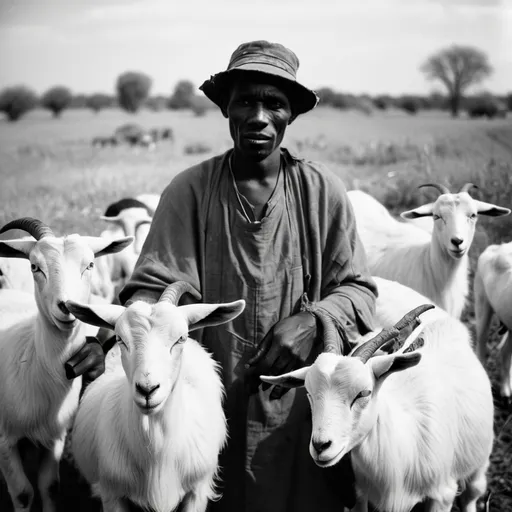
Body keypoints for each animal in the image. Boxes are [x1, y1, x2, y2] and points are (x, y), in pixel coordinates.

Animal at [0, 217, 132, 512]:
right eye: (35, 267)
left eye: (90, 265)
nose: (67, 306)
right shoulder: (3, 440)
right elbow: (23, 493)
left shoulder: (55, 436)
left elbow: (49, 487)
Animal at [262, 304, 494, 512]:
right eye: (309, 393)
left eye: (364, 393)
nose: (321, 446)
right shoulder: (358, 495)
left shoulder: (442, 495)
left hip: (480, 458)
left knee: (473, 492)